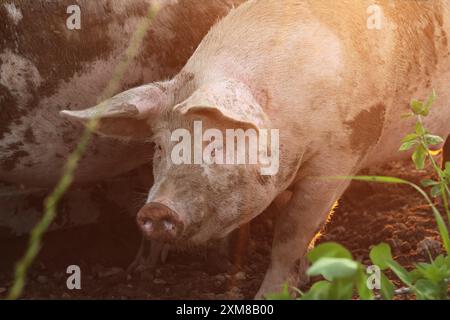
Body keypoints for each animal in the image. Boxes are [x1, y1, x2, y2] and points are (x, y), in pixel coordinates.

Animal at [64, 0, 450, 300]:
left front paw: (270, 294)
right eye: (159, 146)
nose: (157, 209)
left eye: (216, 144)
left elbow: (292, 230)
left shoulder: (341, 154)